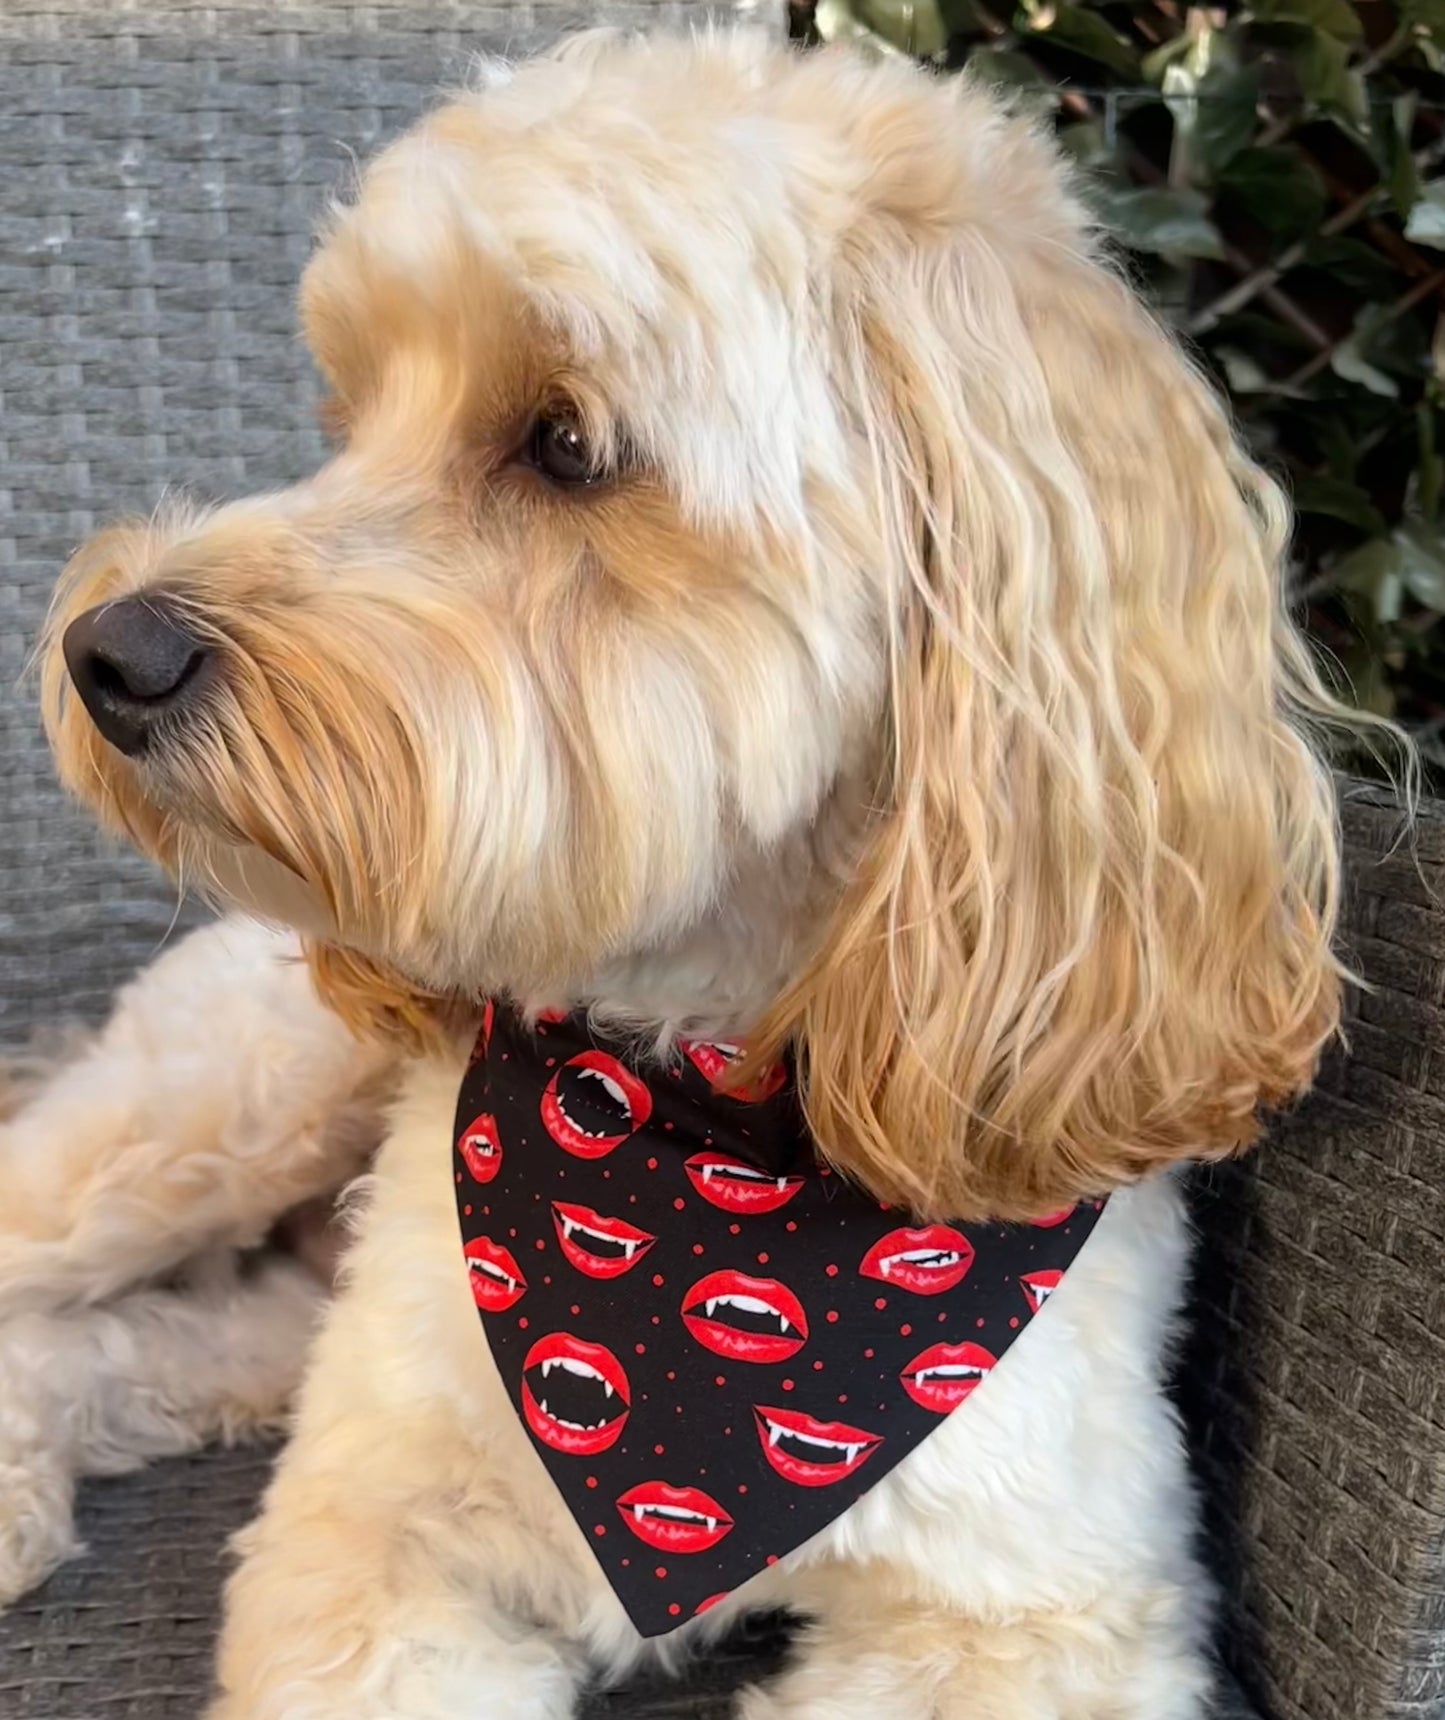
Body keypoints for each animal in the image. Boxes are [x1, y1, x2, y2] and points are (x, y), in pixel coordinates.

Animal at [25, 26, 1355, 1720]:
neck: (700, 1106)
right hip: (219, 1113)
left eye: (566, 446)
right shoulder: (369, 1534)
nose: (106, 652)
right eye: (349, 412)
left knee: (158, 1346)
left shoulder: (1036, 1624)